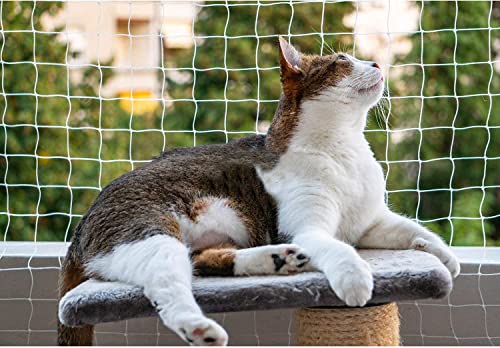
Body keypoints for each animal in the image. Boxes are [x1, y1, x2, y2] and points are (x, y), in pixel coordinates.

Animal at [56, 36, 458, 346]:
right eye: (342, 61)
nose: (375, 61)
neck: (345, 149)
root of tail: (80, 226)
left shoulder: (371, 223)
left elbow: (413, 229)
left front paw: (447, 258)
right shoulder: (307, 228)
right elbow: (341, 249)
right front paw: (356, 280)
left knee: (201, 261)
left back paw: (279, 259)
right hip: (147, 233)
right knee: (167, 286)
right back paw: (201, 327)